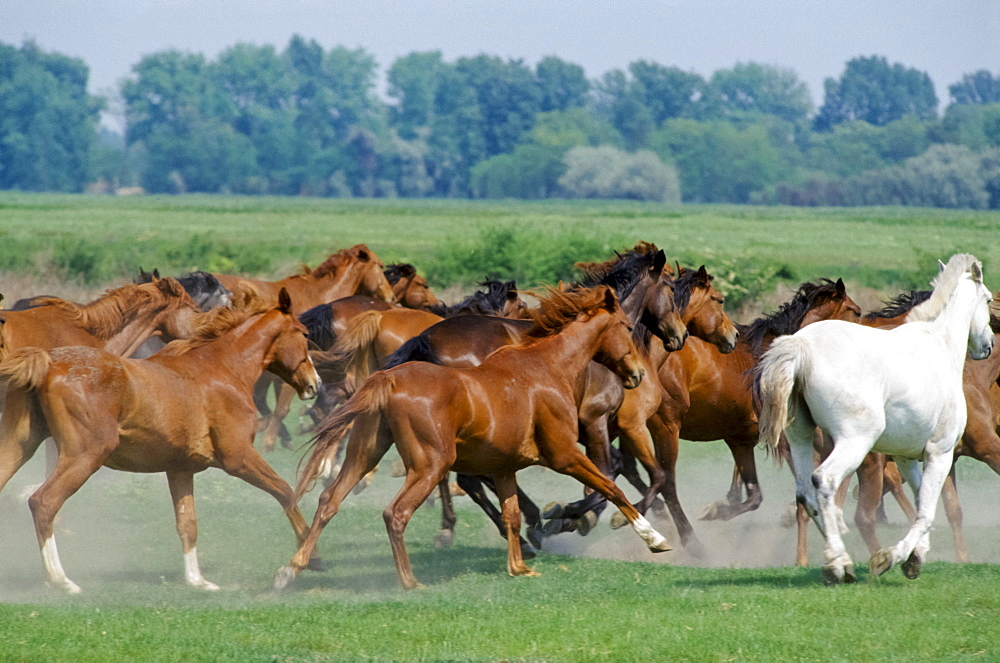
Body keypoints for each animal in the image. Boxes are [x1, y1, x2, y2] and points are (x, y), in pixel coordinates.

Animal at [0, 290, 318, 596]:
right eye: (304, 333)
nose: (314, 384)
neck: (222, 370)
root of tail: (47, 362)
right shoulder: (238, 458)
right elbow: (286, 491)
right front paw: (306, 559)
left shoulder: (180, 469)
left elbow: (187, 525)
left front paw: (197, 581)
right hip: (84, 456)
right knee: (44, 503)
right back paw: (61, 581)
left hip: (18, 446)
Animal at [270, 286, 668, 592]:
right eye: (627, 326)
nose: (637, 375)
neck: (548, 367)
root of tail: (388, 379)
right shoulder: (565, 455)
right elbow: (610, 487)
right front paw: (652, 538)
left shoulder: (505, 466)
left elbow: (511, 514)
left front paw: (520, 565)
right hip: (429, 465)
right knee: (396, 513)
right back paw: (410, 581)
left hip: (364, 453)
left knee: (329, 500)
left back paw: (292, 568)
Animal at [756, 255, 992, 588]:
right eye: (989, 299)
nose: (988, 345)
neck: (939, 345)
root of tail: (801, 347)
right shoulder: (940, 453)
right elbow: (927, 512)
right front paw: (891, 557)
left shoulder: (907, 457)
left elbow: (920, 503)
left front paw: (915, 559)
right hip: (855, 443)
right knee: (825, 482)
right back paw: (838, 565)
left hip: (801, 438)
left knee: (805, 493)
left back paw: (841, 561)